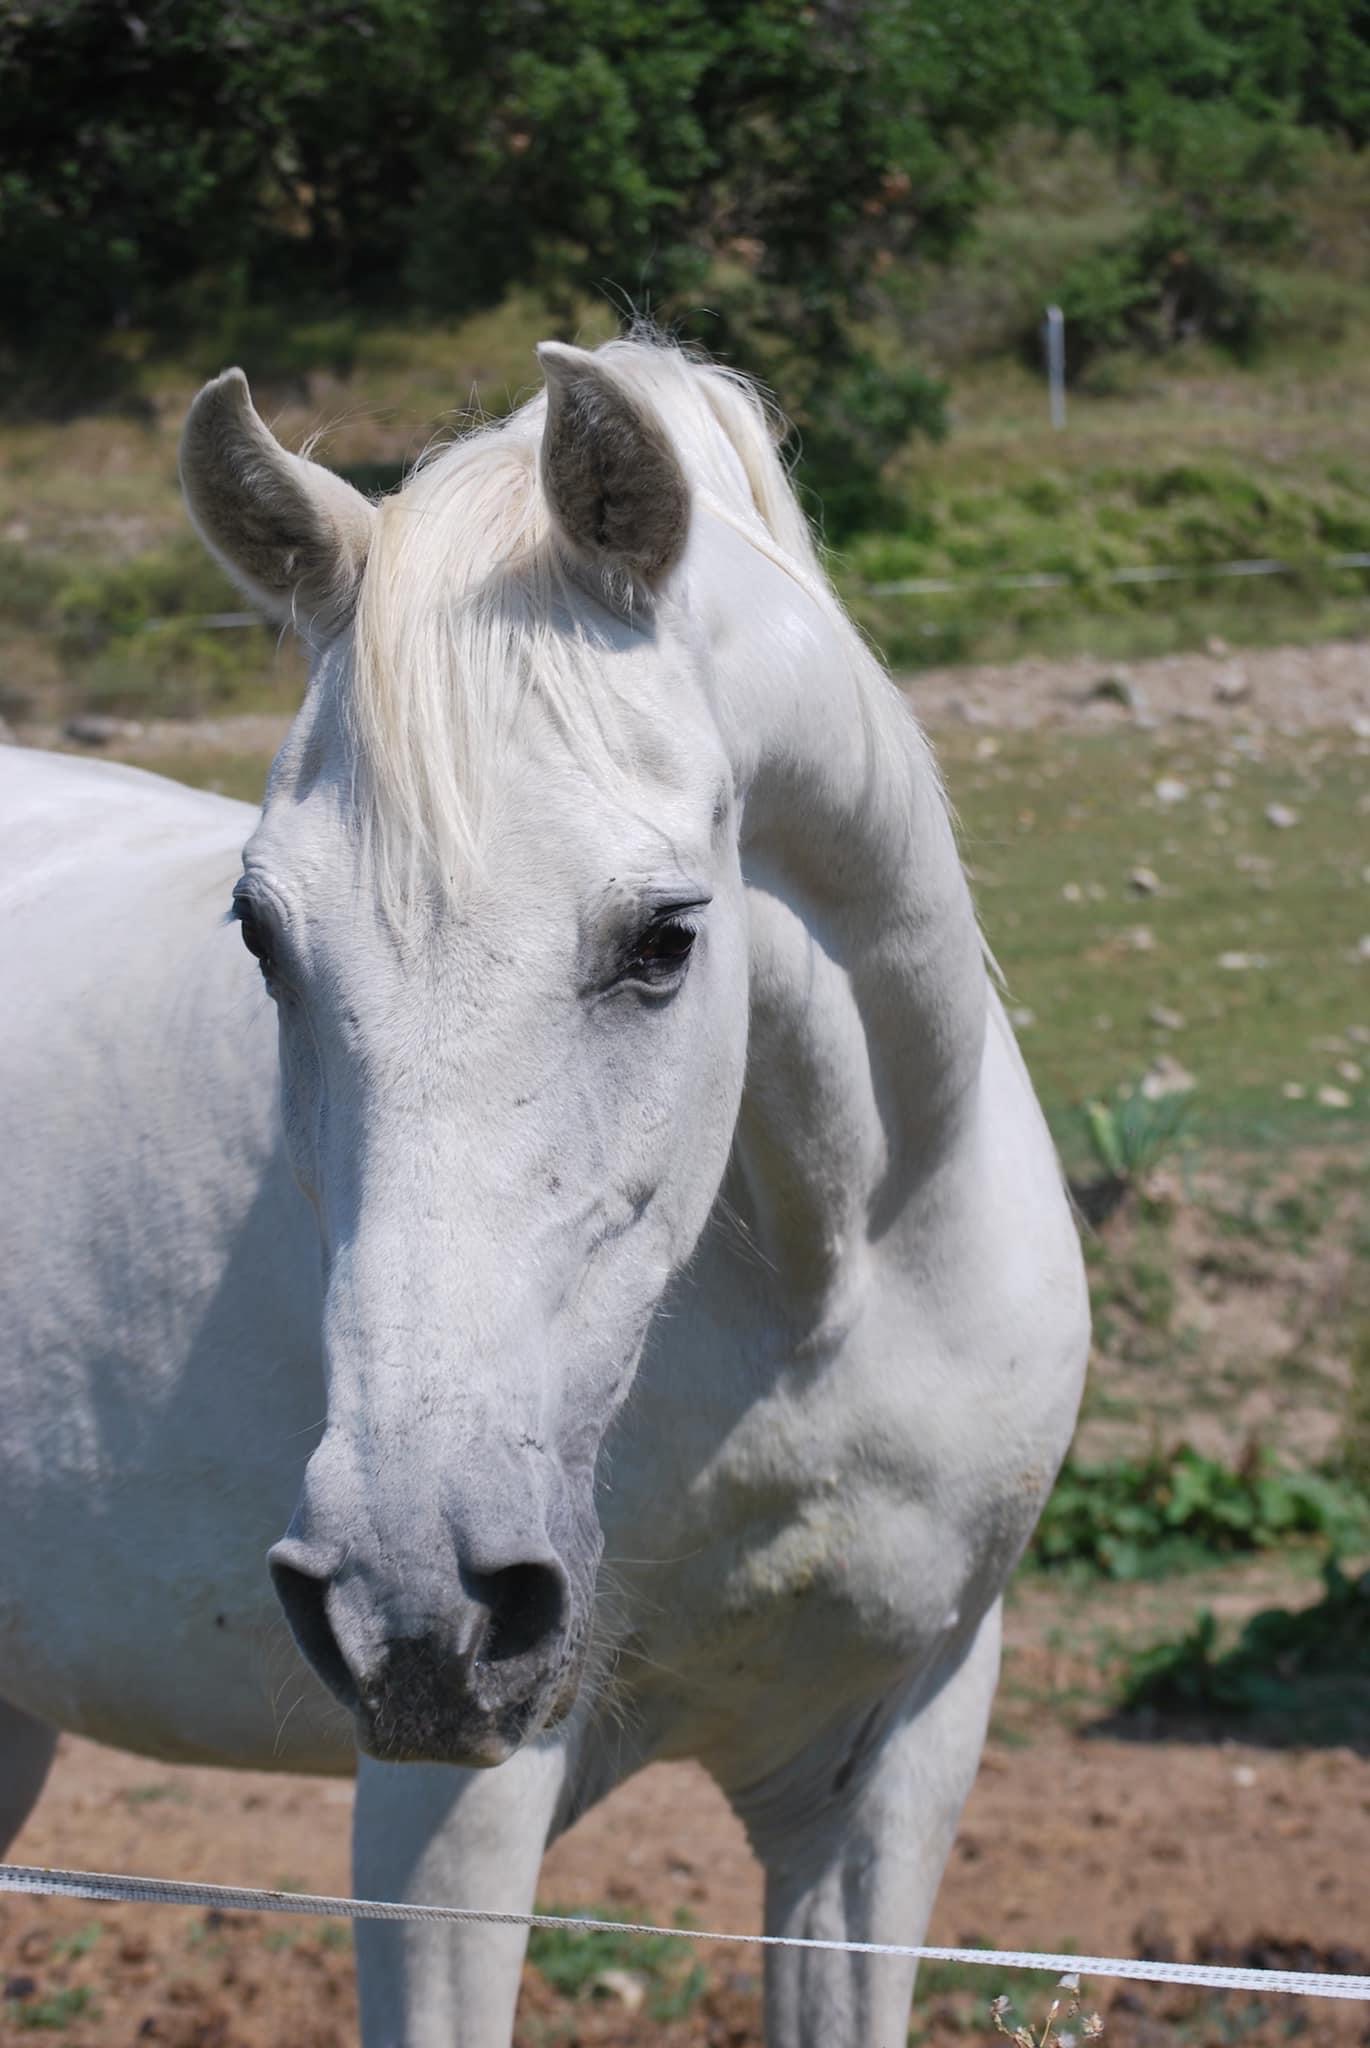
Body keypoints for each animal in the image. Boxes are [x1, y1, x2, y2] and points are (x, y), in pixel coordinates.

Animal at [0, 339, 1089, 2048]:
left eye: (662, 937)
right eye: (260, 933)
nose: (410, 1596)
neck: (826, 1296)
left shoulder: (890, 1765)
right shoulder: (450, 1809)